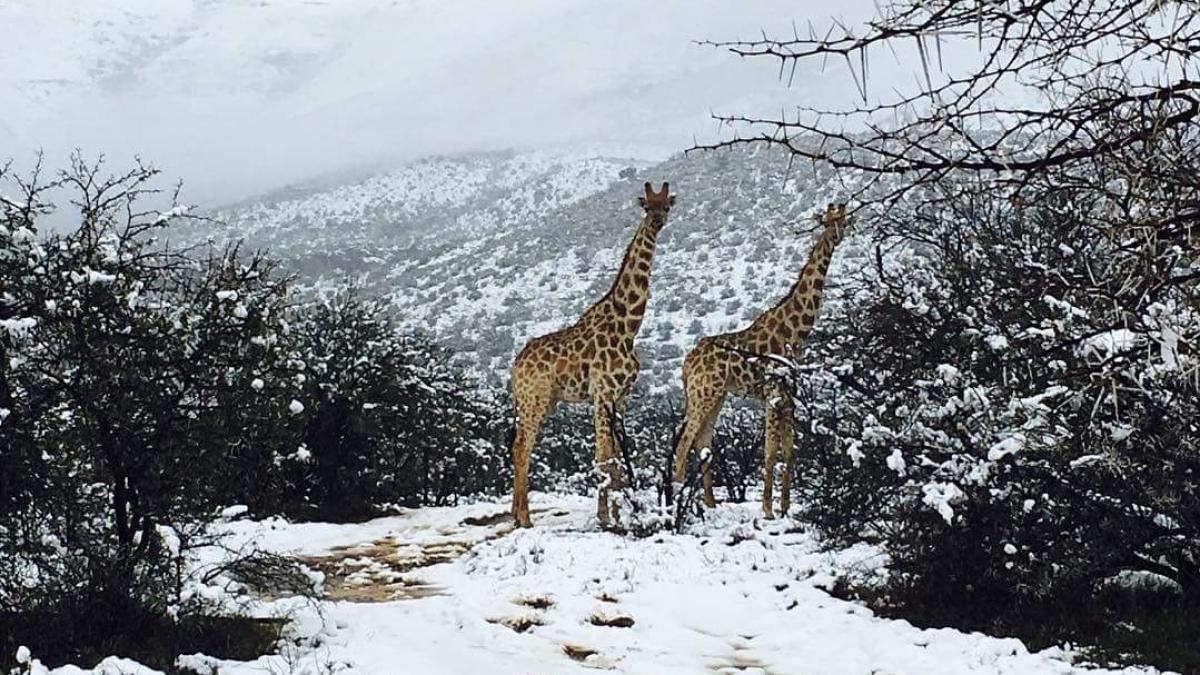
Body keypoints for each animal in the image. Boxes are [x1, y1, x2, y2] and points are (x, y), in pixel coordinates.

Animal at [506, 182, 676, 526]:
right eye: (646, 206)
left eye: (666, 206)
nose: (656, 222)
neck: (628, 326)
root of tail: (516, 365)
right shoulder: (603, 393)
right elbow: (603, 457)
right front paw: (606, 517)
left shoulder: (621, 397)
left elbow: (615, 456)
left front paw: (619, 514)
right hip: (534, 400)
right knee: (522, 447)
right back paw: (524, 518)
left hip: (543, 401)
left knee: (519, 446)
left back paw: (516, 514)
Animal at [667, 199, 854, 514]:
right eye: (828, 220)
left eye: (843, 217)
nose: (839, 234)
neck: (795, 332)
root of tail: (686, 364)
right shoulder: (772, 392)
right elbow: (769, 451)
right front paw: (767, 509)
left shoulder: (788, 395)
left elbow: (789, 450)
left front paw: (785, 507)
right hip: (702, 393)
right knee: (684, 442)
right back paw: (677, 504)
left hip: (716, 395)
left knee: (702, 443)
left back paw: (710, 504)